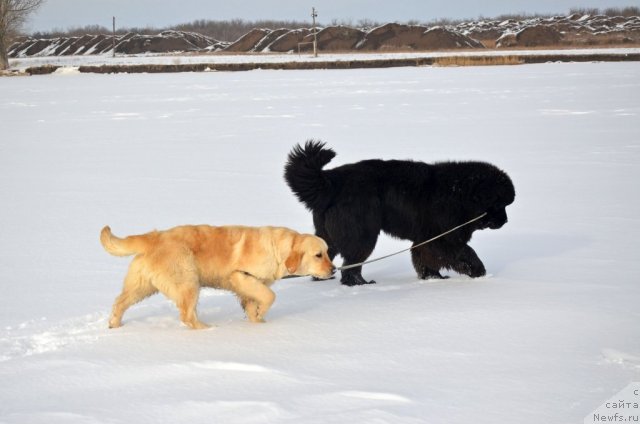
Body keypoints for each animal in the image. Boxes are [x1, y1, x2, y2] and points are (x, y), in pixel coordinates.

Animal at [284, 141, 516, 286]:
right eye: (500, 204)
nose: (505, 220)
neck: (459, 195)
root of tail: (332, 181)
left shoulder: (425, 239)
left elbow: (424, 257)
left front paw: (433, 278)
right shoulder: (443, 237)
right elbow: (464, 252)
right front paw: (479, 272)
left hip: (327, 234)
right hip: (362, 235)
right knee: (351, 265)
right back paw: (360, 284)